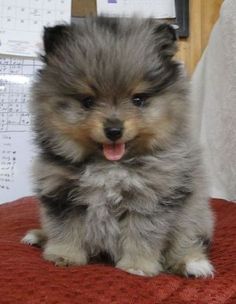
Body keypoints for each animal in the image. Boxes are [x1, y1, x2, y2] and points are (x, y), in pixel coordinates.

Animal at [22, 16, 214, 278]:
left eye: (138, 100)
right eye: (87, 101)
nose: (114, 130)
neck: (109, 165)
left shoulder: (149, 198)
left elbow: (142, 235)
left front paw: (137, 266)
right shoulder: (61, 192)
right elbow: (66, 229)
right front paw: (64, 255)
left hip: (192, 214)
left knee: (186, 242)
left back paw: (193, 263)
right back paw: (38, 236)